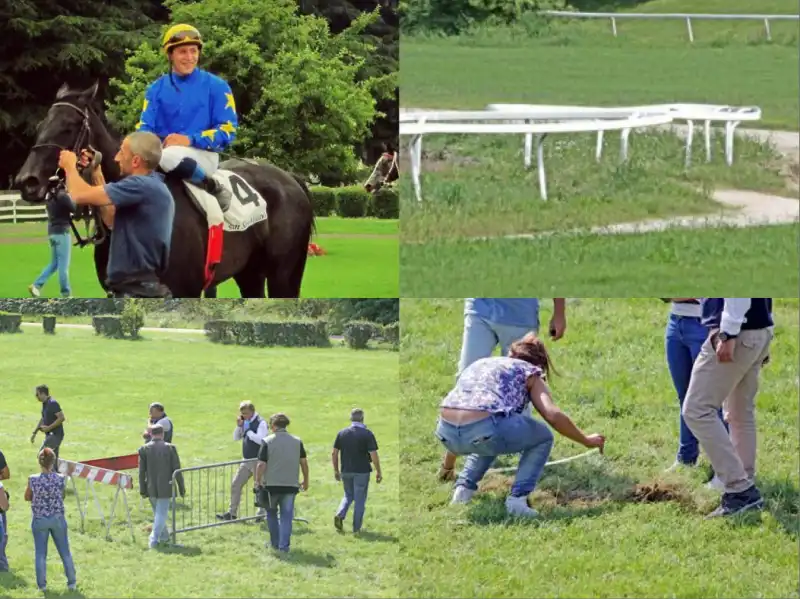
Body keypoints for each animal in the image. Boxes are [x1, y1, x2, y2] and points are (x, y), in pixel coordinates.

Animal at [14, 83, 316, 298]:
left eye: (68, 127)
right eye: (41, 126)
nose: (27, 181)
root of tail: (290, 178)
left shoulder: (186, 290)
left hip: (283, 274)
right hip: (250, 273)